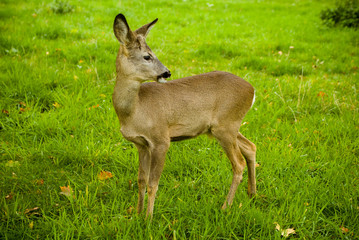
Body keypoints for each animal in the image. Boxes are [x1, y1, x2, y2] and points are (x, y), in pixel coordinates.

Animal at [114, 13, 258, 219]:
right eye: (147, 56)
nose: (167, 72)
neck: (135, 111)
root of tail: (252, 90)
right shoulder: (141, 144)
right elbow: (141, 179)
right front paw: (137, 213)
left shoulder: (161, 139)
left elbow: (152, 183)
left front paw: (148, 219)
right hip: (225, 126)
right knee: (250, 147)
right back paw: (252, 194)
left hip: (226, 125)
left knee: (238, 163)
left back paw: (226, 207)